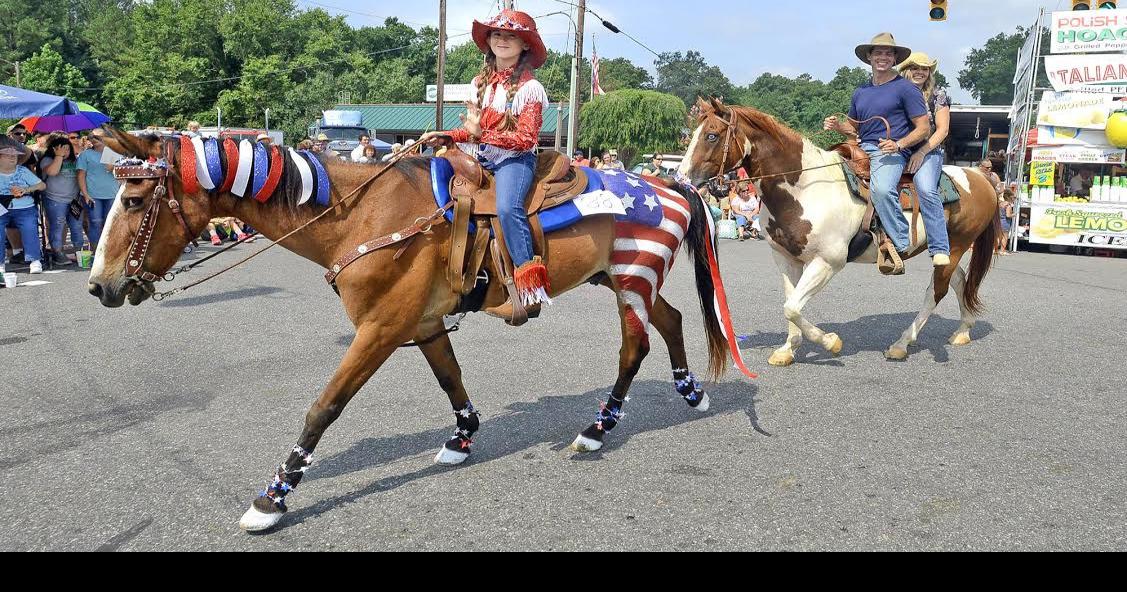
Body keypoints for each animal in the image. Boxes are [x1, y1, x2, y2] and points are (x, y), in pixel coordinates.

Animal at [90, 129, 757, 529]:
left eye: (133, 201)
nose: (100, 287)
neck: (360, 217)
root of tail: (671, 184)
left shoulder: (381, 330)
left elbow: (324, 406)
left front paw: (274, 496)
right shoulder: (423, 322)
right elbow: (450, 380)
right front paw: (462, 438)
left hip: (630, 278)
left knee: (635, 343)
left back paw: (597, 429)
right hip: (622, 280)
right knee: (669, 322)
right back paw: (690, 392)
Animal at [680, 97, 1000, 365]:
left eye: (711, 135)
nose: (682, 178)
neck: (804, 186)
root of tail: (979, 176)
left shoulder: (827, 262)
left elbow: (792, 307)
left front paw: (830, 342)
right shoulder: (785, 258)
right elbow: (790, 303)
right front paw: (788, 350)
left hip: (956, 246)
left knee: (936, 291)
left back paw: (901, 344)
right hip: (943, 249)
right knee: (959, 281)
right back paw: (963, 330)